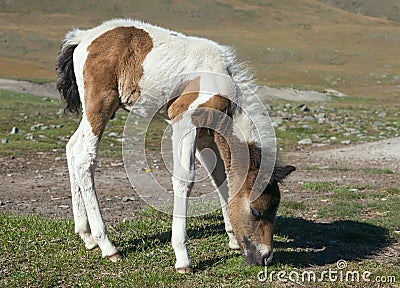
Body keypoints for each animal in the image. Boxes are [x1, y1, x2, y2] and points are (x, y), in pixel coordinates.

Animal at [56, 18, 294, 272]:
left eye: (276, 208)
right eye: (256, 211)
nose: (265, 257)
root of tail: (83, 37)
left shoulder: (206, 134)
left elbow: (220, 176)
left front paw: (232, 239)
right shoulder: (184, 120)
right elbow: (184, 179)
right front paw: (182, 257)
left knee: (72, 148)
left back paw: (87, 236)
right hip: (100, 104)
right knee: (85, 159)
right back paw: (107, 246)